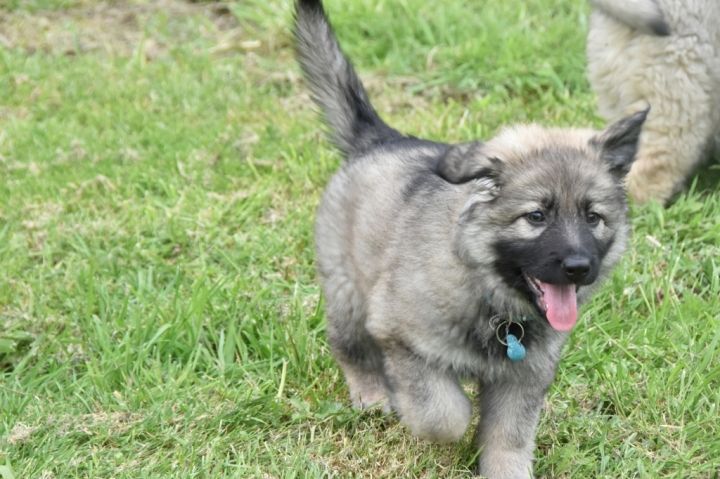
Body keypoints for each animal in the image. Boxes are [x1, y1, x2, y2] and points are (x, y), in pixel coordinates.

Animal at [294, 1, 647, 477]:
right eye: (536, 217)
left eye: (594, 218)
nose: (579, 267)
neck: (493, 297)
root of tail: (382, 139)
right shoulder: (400, 335)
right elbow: (444, 414)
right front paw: (427, 413)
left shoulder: (525, 376)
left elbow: (508, 439)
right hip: (347, 290)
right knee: (350, 347)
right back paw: (373, 393)